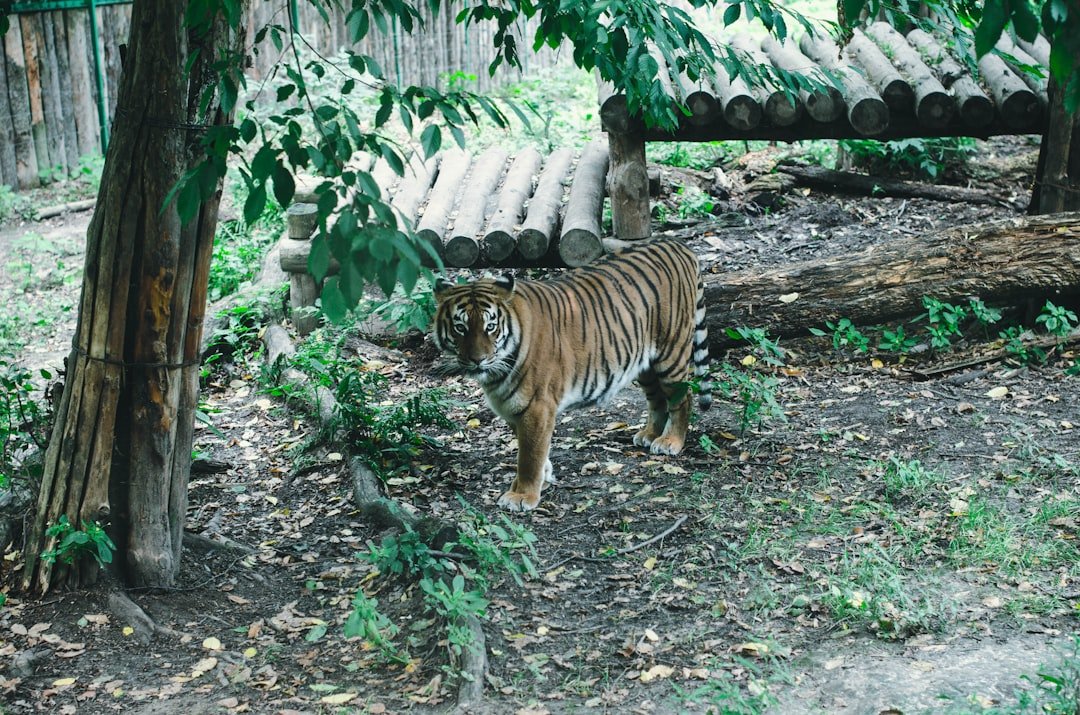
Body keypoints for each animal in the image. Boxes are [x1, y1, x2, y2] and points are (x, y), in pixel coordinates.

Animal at [432, 238, 712, 512]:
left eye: (490, 326)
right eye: (460, 327)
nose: (476, 360)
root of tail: (677, 244)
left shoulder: (537, 406)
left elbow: (529, 455)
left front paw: (522, 496)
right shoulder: (514, 406)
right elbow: (533, 449)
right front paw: (543, 478)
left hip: (671, 352)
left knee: (683, 396)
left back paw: (670, 441)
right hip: (644, 363)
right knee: (656, 398)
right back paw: (650, 434)